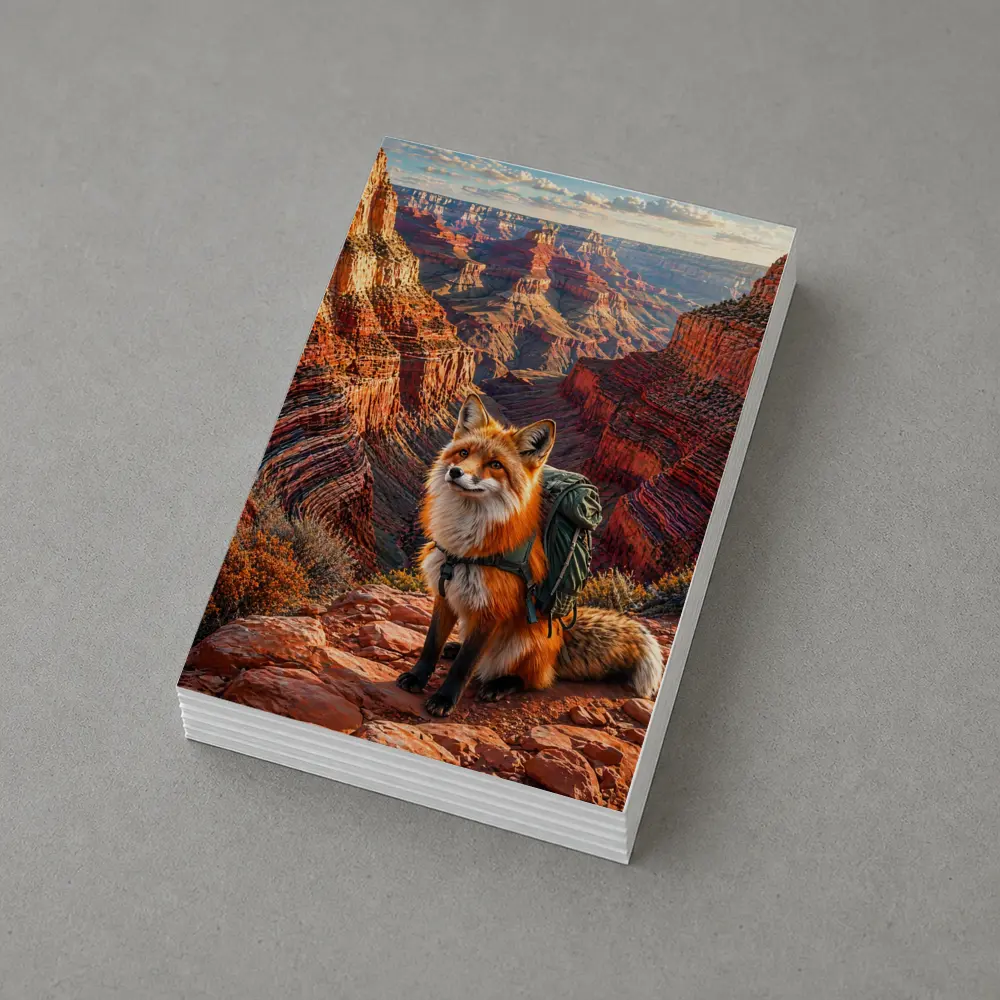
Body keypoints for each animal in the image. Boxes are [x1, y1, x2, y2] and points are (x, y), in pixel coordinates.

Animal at [396, 392, 664, 718]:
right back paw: (455, 648)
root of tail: (560, 637)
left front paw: (445, 699)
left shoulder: (491, 609)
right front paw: (418, 677)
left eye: (495, 464)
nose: (456, 472)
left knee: (533, 679)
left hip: (522, 642)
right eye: (463, 453)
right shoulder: (444, 593)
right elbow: (431, 644)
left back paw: (499, 685)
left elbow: (465, 665)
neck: (462, 550)